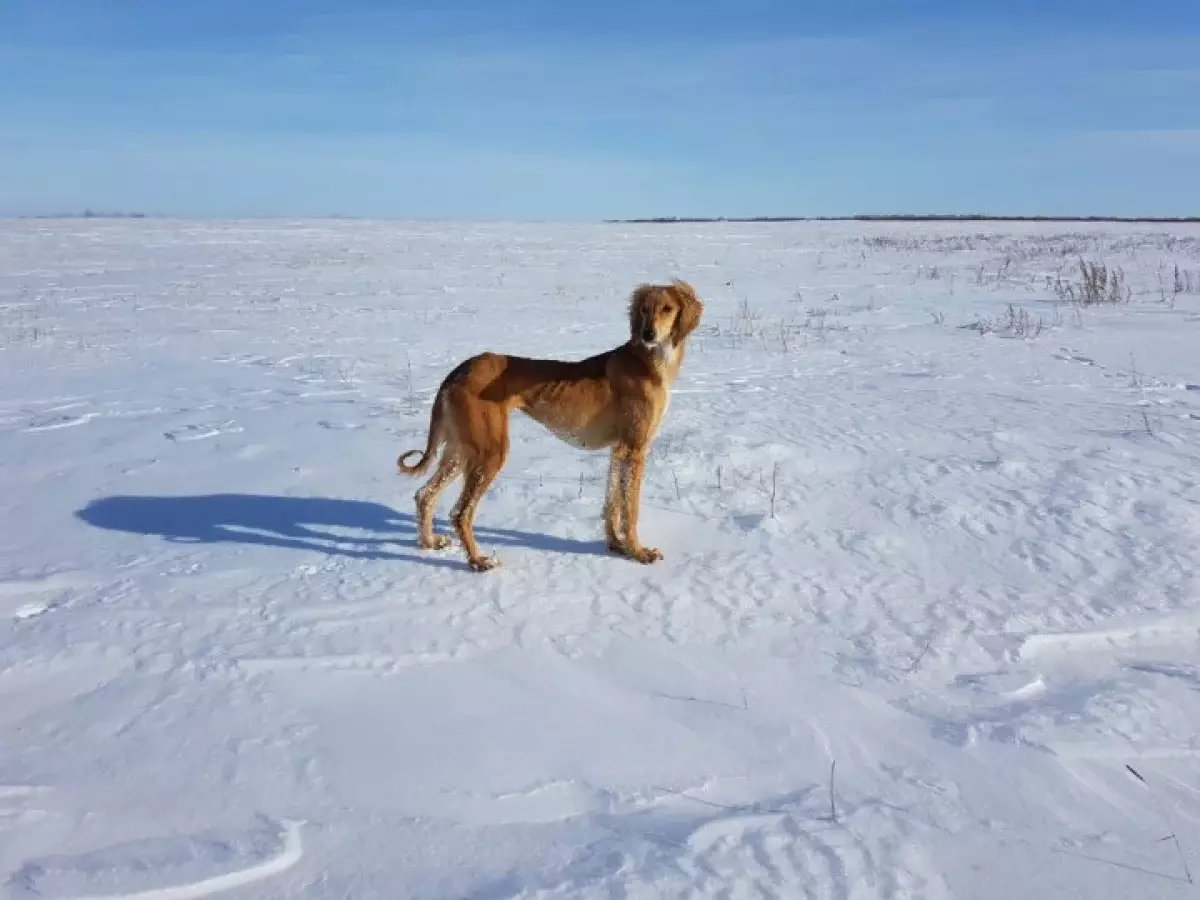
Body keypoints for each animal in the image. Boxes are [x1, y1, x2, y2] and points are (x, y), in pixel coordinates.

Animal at [398, 280, 705, 571]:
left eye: (667, 308)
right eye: (644, 309)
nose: (648, 334)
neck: (648, 361)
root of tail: (459, 370)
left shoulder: (619, 450)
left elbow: (612, 503)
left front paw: (616, 546)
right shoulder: (635, 449)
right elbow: (631, 509)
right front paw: (639, 553)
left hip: (461, 449)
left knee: (424, 495)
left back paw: (429, 543)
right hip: (490, 452)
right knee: (460, 512)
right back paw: (478, 561)